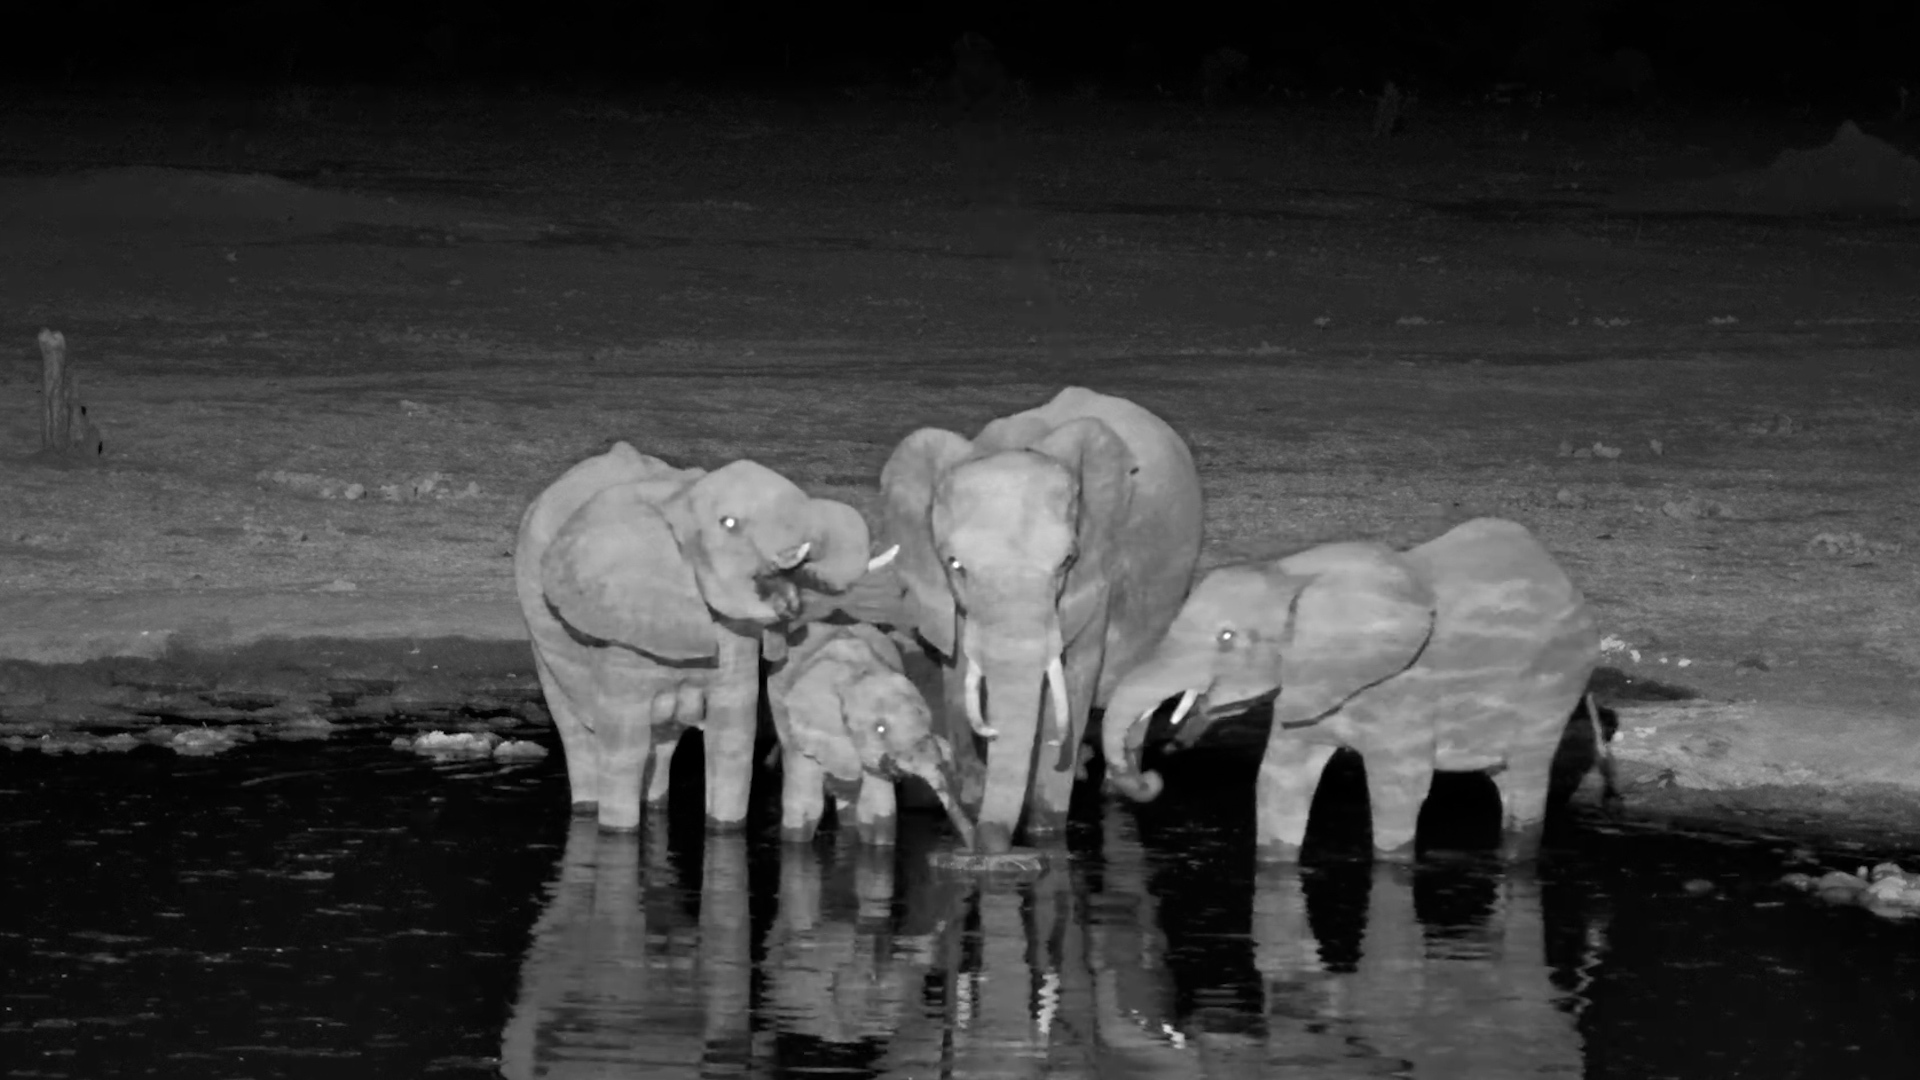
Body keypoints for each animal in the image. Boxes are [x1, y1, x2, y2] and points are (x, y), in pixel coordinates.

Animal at [513, 440, 895, 832]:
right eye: (729, 523)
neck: (680, 499)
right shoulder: (622, 621)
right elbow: (625, 742)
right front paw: (617, 833)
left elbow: (732, 735)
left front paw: (724, 831)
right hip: (536, 620)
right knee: (574, 730)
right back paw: (588, 806)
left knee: (662, 744)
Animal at [765, 619, 977, 848]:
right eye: (880, 729)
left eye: (928, 721)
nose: (972, 846)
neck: (856, 671)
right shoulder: (799, 729)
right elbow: (806, 807)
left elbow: (877, 810)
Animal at [881, 386, 1205, 854]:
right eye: (955, 564)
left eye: (1066, 561)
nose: (987, 848)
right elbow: (957, 674)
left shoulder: (1097, 570)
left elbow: (1073, 679)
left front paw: (1044, 834)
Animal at [1102, 517, 1599, 863]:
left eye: (1226, 638)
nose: (1156, 773)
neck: (1292, 575)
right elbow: (1279, 779)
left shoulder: (1406, 689)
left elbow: (1400, 790)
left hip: (1556, 680)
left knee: (1528, 778)